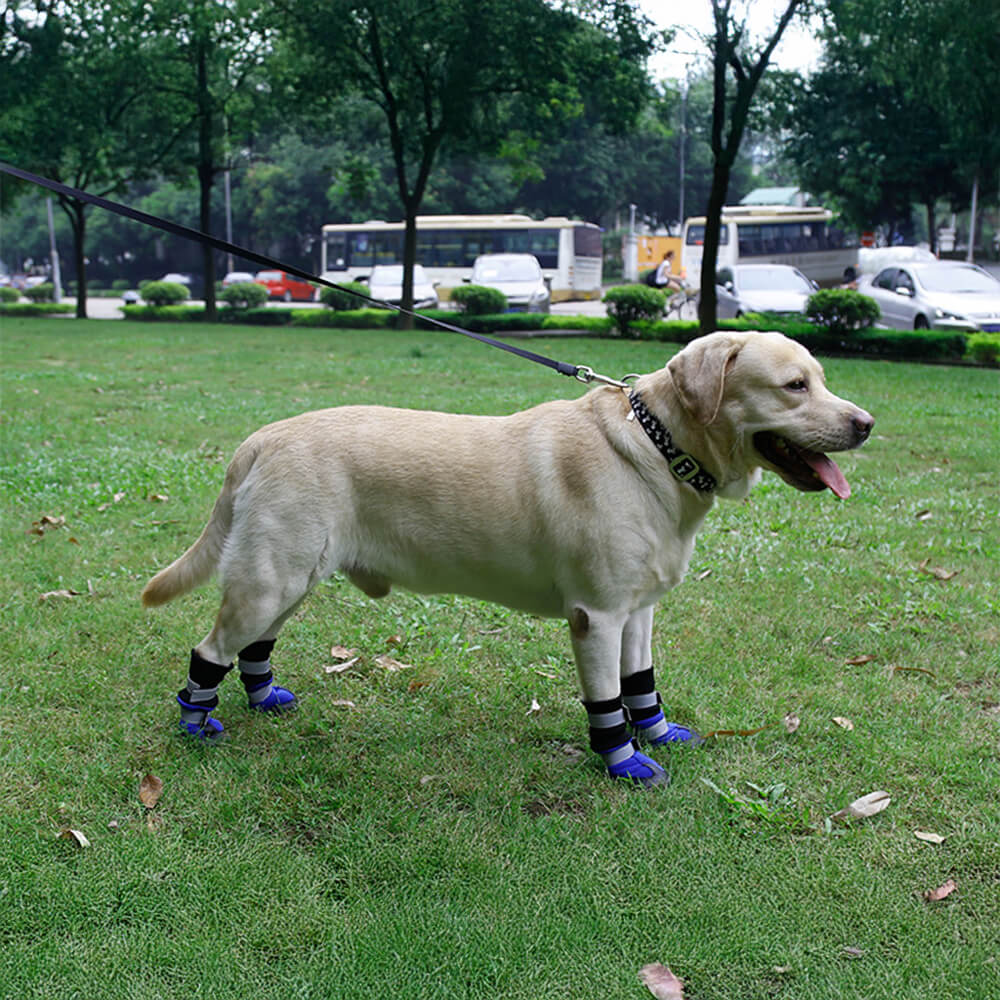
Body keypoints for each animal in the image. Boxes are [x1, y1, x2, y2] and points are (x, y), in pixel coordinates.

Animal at [145, 332, 872, 784]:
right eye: (794, 385)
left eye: (823, 379)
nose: (865, 424)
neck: (656, 449)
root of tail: (260, 438)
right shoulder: (597, 617)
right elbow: (608, 700)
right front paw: (623, 761)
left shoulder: (639, 611)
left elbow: (641, 684)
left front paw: (658, 733)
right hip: (271, 578)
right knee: (209, 649)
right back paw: (194, 722)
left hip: (288, 576)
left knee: (252, 646)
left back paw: (264, 697)